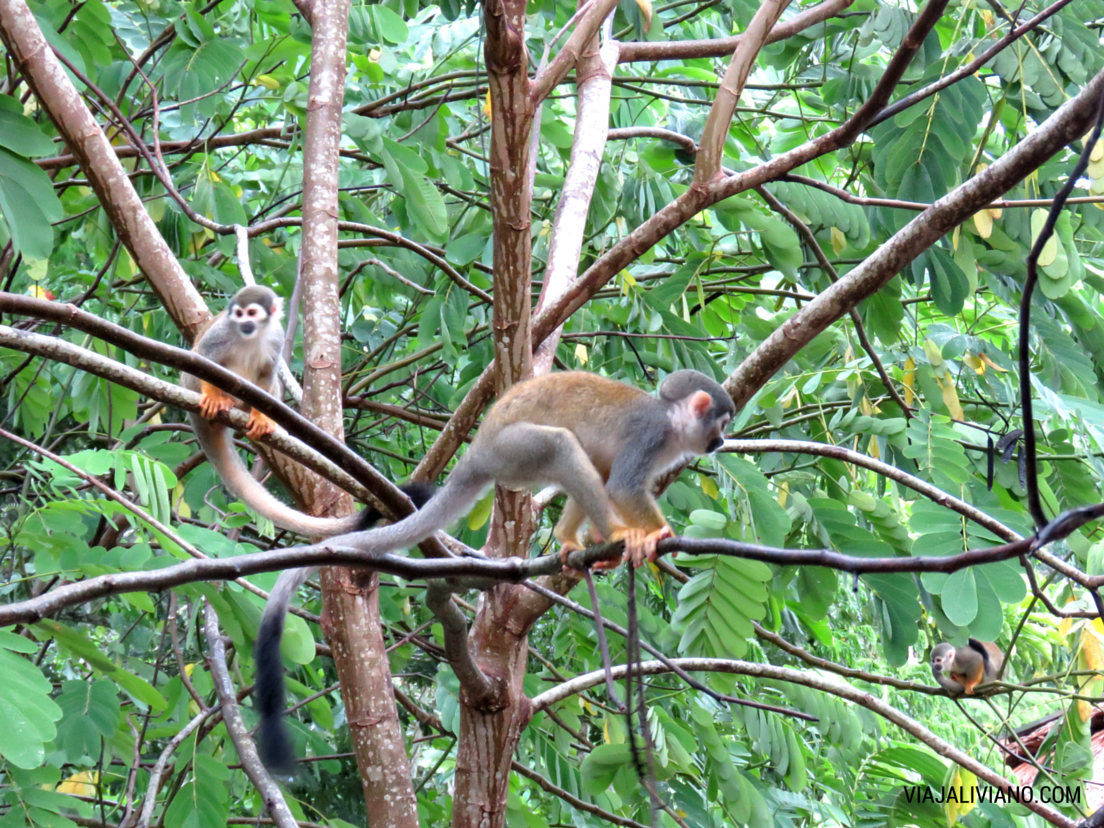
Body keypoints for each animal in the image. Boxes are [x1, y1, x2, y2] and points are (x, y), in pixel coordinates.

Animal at [254, 369, 736, 772]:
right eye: (723, 422)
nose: (721, 442)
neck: (671, 423)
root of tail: (478, 449)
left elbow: (608, 476)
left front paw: (598, 536)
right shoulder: (650, 437)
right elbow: (621, 485)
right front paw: (652, 534)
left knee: (586, 461)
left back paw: (570, 538)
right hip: (513, 450)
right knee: (561, 445)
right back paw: (615, 533)